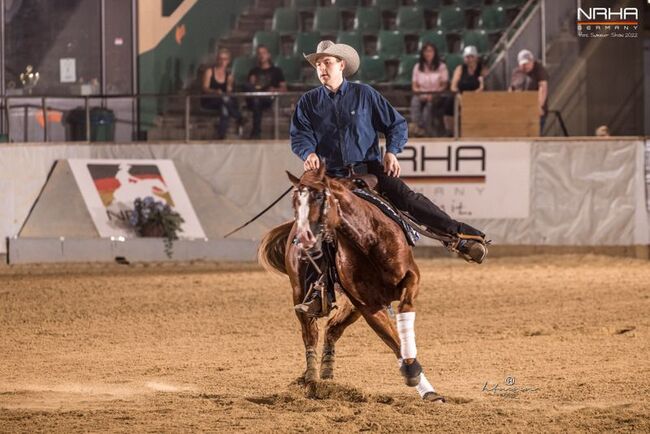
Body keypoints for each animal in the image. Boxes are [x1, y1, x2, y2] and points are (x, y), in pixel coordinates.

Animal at [258, 164, 446, 402]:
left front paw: (427, 388)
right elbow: (392, 340)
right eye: (294, 202)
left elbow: (404, 312)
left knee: (332, 328)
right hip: (300, 292)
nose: (303, 238)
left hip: (350, 305)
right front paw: (412, 372)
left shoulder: (410, 277)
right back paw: (311, 379)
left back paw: (326, 372)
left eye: (319, 197)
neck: (368, 241)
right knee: (310, 334)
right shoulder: (368, 305)